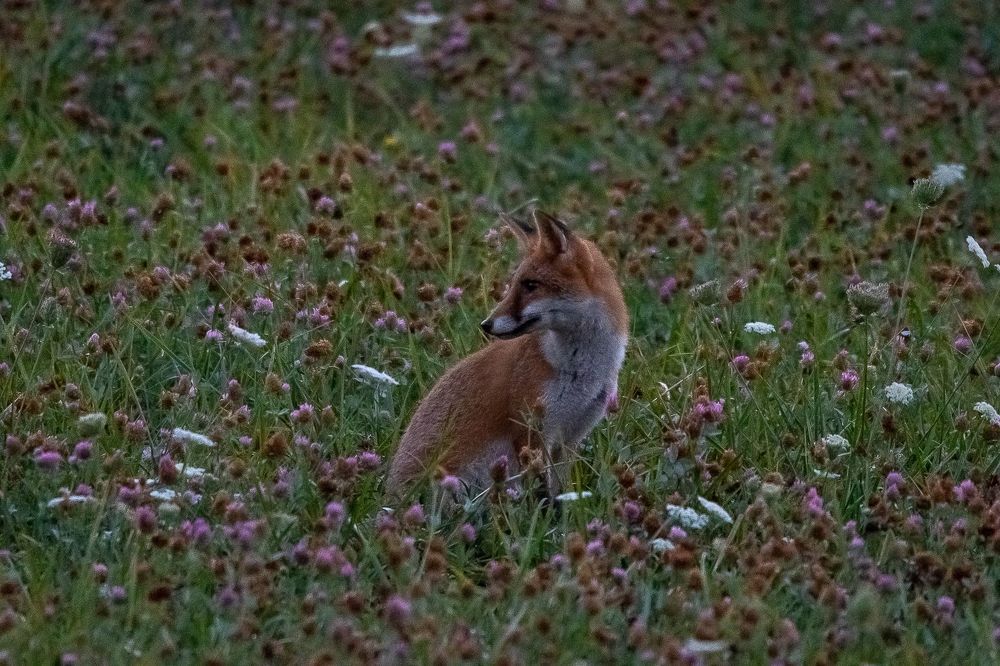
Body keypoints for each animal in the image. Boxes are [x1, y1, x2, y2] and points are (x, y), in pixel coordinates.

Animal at [386, 210, 628, 499]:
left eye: (530, 285)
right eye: (514, 285)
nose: (485, 324)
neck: (582, 371)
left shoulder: (570, 437)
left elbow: (559, 493)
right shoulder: (532, 433)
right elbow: (542, 495)